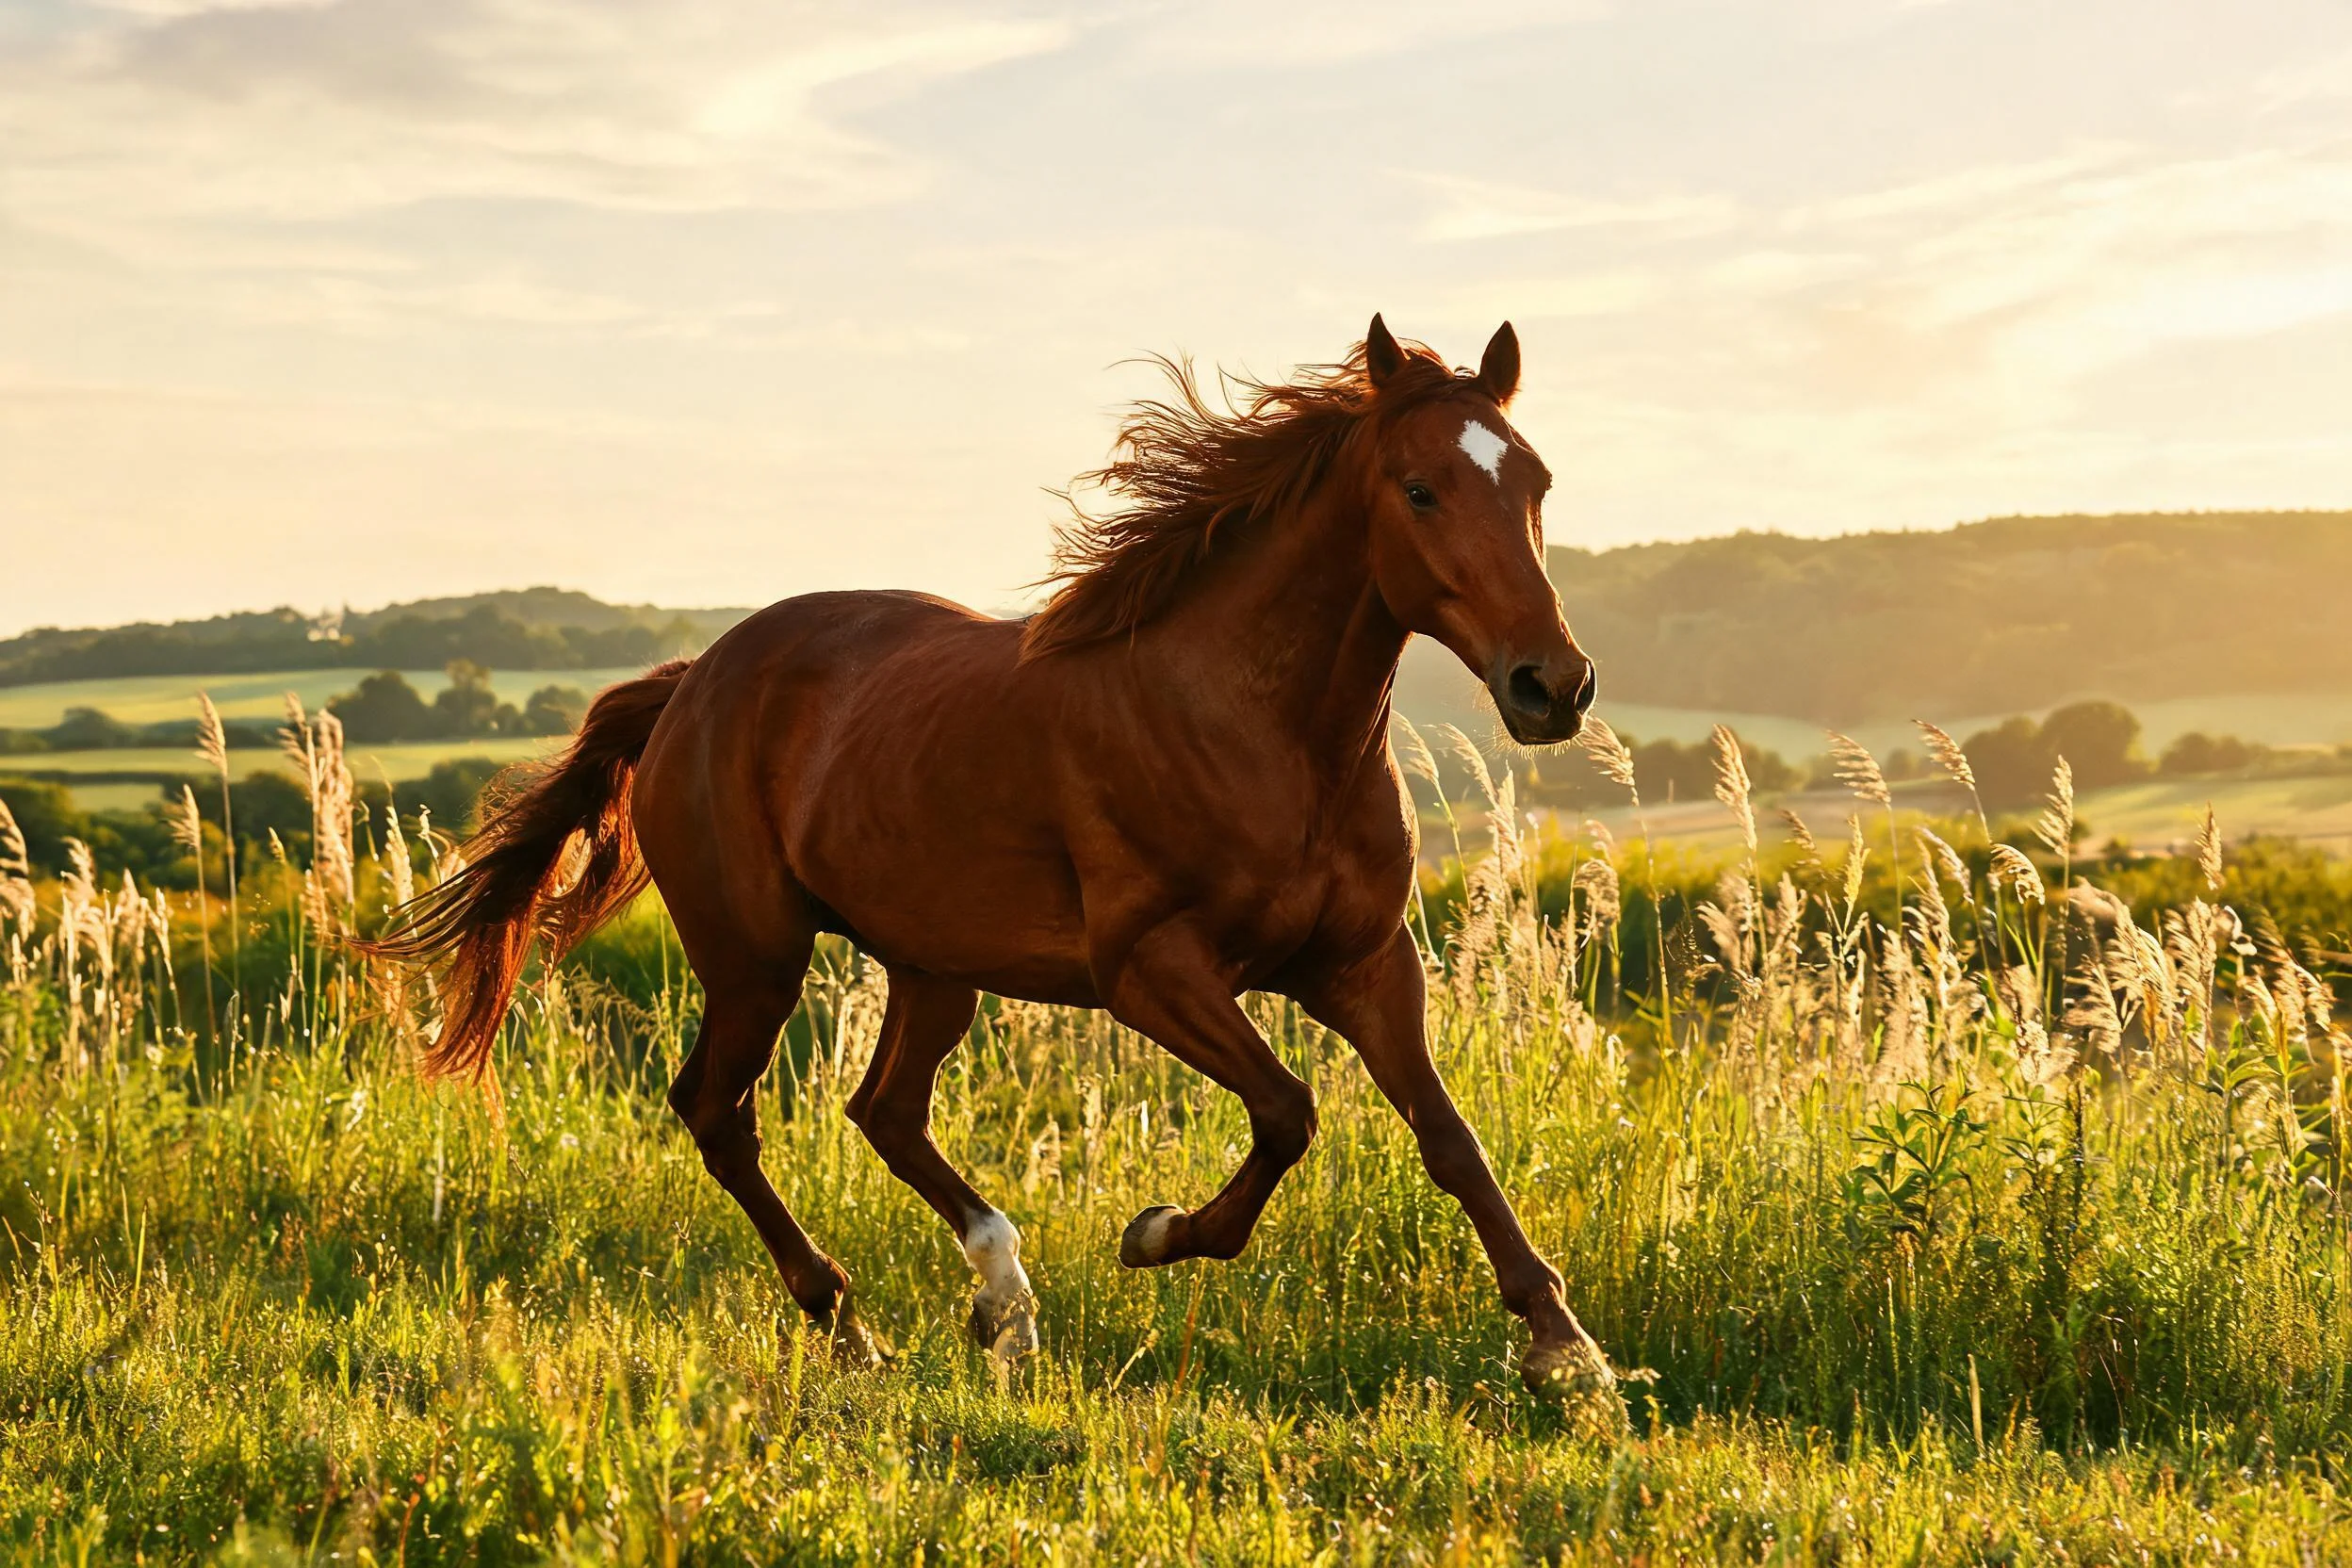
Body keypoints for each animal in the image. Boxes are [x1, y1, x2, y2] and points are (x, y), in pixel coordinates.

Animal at [367, 314, 1614, 1403]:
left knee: (882, 1109)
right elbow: (1287, 1108)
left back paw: (1003, 1303)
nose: (1553, 684)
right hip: (757, 955)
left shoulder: (1366, 963)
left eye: (1538, 483)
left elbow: (1448, 1138)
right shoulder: (1150, 968)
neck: (1260, 725)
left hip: (933, 966)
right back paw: (851, 1321)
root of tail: (691, 683)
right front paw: (1156, 1231)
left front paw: (1566, 1346)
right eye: (1420, 488)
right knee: (719, 1109)